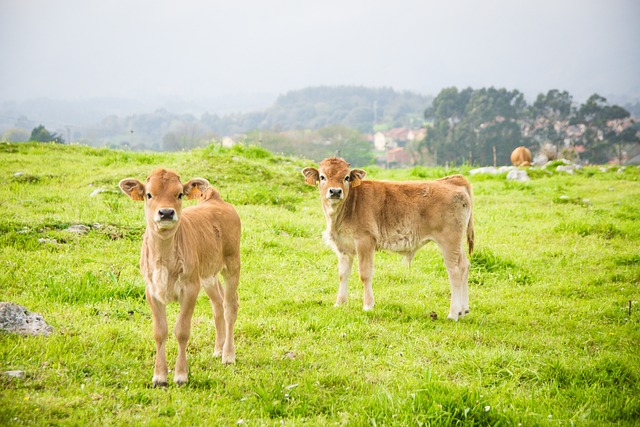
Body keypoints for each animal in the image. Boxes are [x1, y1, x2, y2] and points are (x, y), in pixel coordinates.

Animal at [119, 169, 241, 386]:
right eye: (149, 194)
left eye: (180, 194)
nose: (166, 213)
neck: (163, 260)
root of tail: (216, 200)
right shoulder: (152, 290)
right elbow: (160, 332)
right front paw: (159, 376)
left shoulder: (190, 288)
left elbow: (182, 331)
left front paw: (181, 375)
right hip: (208, 274)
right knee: (217, 304)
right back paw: (218, 350)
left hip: (233, 263)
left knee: (229, 306)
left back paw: (228, 355)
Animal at [302, 157, 472, 320]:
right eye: (322, 177)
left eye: (346, 177)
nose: (335, 191)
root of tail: (453, 180)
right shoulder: (343, 246)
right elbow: (343, 274)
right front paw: (340, 303)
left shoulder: (365, 240)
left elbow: (365, 273)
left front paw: (368, 305)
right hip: (458, 244)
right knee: (464, 266)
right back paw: (463, 310)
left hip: (449, 240)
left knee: (454, 271)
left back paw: (453, 314)